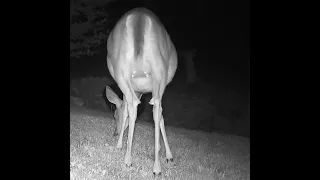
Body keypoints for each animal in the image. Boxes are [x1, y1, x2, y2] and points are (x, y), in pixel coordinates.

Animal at [106, 7, 179, 176]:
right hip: (159, 72)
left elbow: (128, 110)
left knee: (135, 105)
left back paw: (131, 160)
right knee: (155, 107)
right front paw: (168, 155)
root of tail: (139, 18)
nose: (114, 132)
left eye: (114, 115)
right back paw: (154, 166)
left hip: (122, 72)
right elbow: (161, 118)